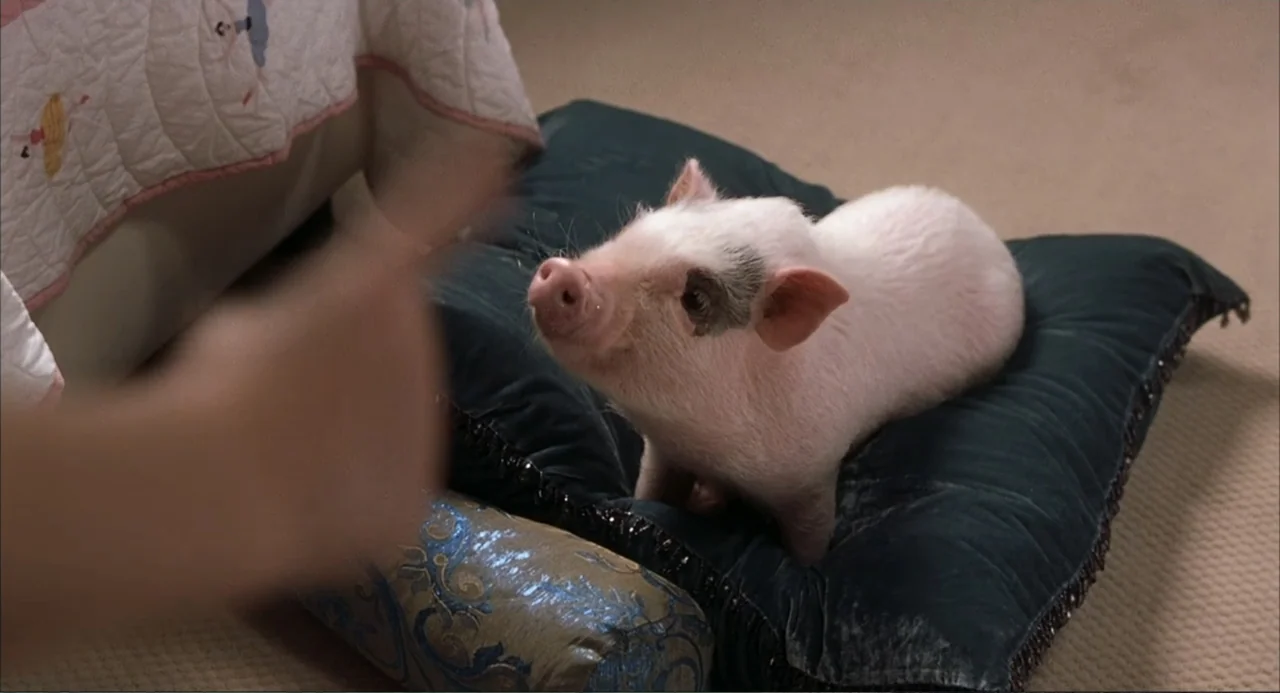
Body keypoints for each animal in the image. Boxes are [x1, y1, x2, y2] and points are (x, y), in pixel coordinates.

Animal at [526, 158, 1025, 565]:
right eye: (636, 226)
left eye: (696, 298)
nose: (564, 272)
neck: (706, 445)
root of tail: (986, 232)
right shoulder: (665, 449)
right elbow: (650, 494)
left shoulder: (813, 473)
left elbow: (809, 541)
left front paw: (809, 567)